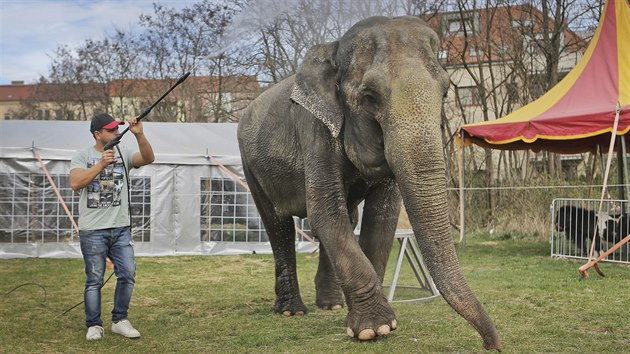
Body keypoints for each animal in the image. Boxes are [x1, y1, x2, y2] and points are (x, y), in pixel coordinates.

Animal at [238, 15, 504, 350]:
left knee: (345, 219)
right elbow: (324, 210)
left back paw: (331, 305)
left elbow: (380, 217)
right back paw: (290, 311)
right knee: (278, 225)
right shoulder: (314, 129)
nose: (492, 344)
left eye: (445, 93)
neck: (335, 47)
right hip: (249, 163)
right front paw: (373, 329)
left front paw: (371, 324)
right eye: (369, 97)